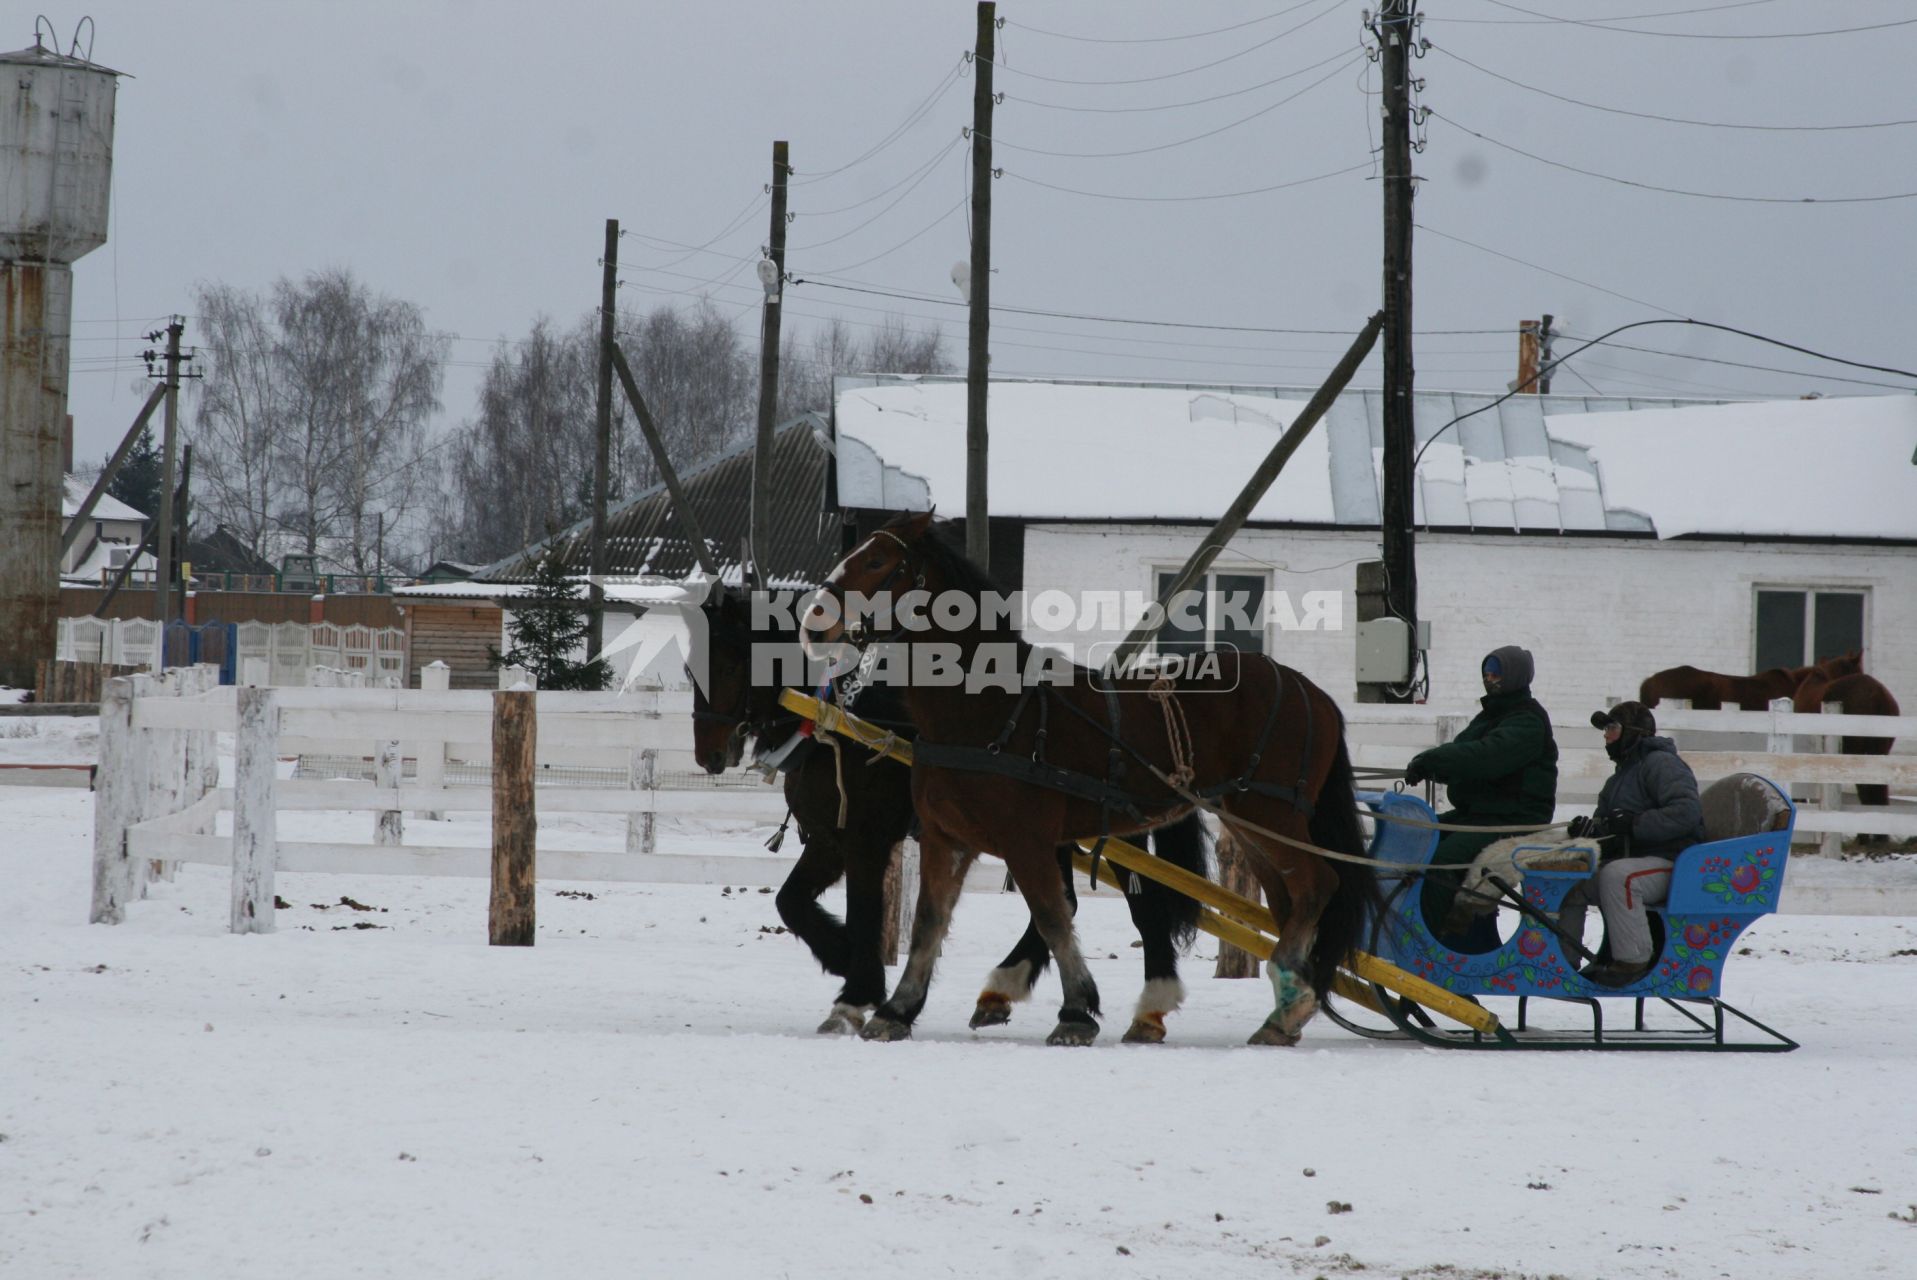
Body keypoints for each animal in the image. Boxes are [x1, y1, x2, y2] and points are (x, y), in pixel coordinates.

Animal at [690, 578, 1203, 1042]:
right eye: (690, 668)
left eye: (731, 663)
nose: (708, 754)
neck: (840, 723)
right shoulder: (830, 840)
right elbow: (790, 901)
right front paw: (844, 960)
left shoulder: (865, 840)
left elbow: (862, 910)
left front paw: (857, 988)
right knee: (1067, 904)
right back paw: (1005, 992)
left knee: (1140, 904)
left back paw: (1145, 1007)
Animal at [797, 513, 1380, 1042]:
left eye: (877, 561)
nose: (814, 624)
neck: (989, 710)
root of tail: (1311, 691)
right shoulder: (946, 839)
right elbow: (928, 923)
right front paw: (897, 1009)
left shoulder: (1026, 841)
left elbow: (1053, 917)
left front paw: (1076, 1009)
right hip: (1248, 820)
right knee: (1291, 899)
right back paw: (1284, 1007)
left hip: (1271, 813)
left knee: (1317, 885)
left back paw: (1290, 996)